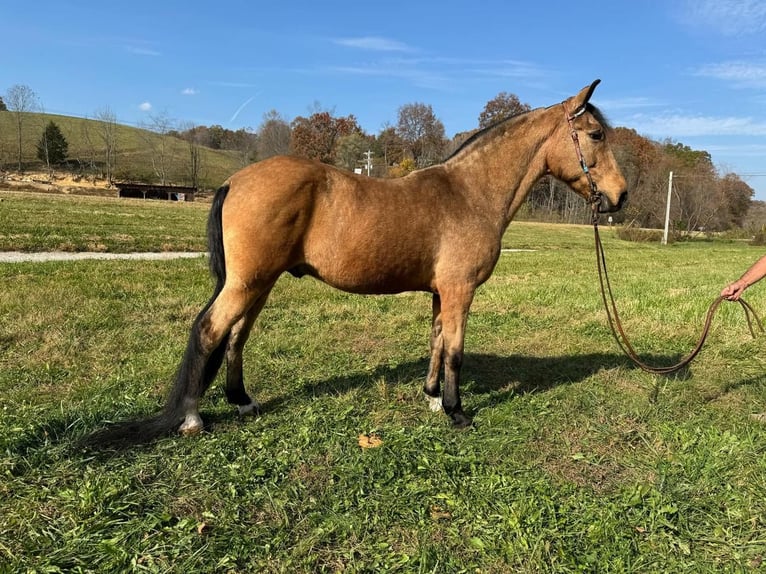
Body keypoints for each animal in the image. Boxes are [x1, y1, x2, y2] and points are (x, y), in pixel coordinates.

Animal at [90, 79, 632, 448]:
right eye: (595, 134)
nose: (621, 196)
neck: (469, 192)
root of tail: (236, 180)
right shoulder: (460, 291)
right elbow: (455, 351)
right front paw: (457, 412)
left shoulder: (442, 293)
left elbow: (437, 343)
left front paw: (432, 397)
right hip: (247, 282)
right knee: (209, 330)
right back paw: (192, 418)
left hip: (259, 283)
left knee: (237, 335)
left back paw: (242, 401)